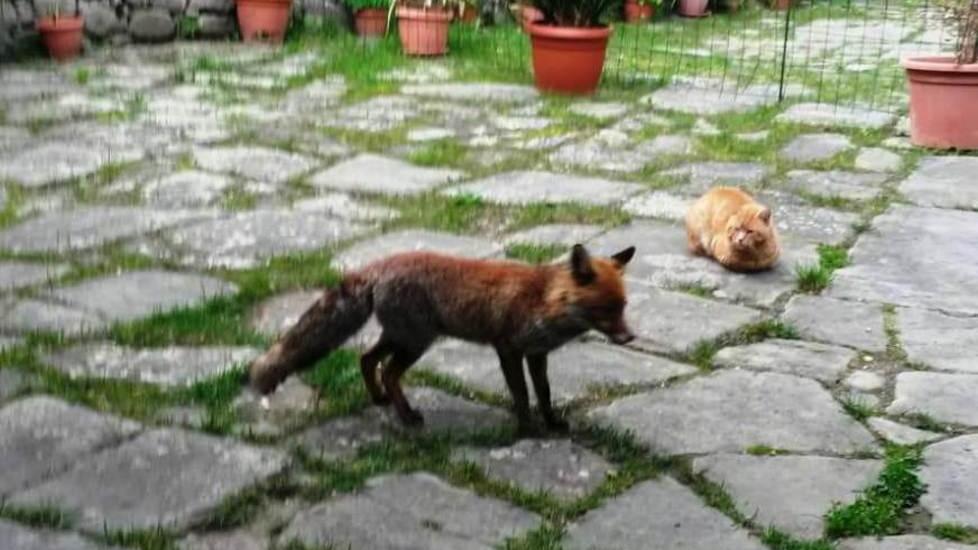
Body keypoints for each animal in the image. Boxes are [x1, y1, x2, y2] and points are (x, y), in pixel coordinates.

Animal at [248, 243, 637, 434]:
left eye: (624, 306)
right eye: (606, 309)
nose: (631, 337)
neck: (544, 300)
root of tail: (378, 266)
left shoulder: (537, 354)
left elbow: (544, 393)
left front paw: (552, 423)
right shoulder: (508, 349)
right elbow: (521, 394)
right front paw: (527, 429)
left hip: (401, 337)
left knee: (367, 359)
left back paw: (380, 400)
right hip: (415, 342)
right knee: (388, 371)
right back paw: (406, 416)